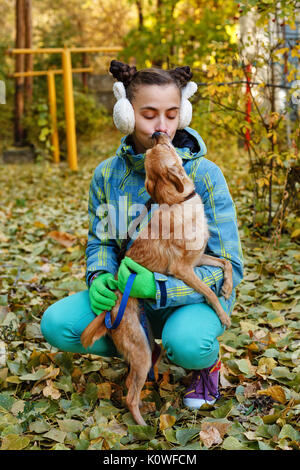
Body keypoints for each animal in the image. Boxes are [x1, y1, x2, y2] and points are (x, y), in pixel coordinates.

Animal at [81, 131, 233, 426]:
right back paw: (144, 427)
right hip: (140, 351)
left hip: (151, 347)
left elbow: (226, 263)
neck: (178, 203)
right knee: (130, 395)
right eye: (164, 148)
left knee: (130, 385)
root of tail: (113, 305)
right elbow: (208, 293)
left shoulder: (199, 260)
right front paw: (222, 315)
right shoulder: (183, 270)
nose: (157, 133)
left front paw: (228, 286)